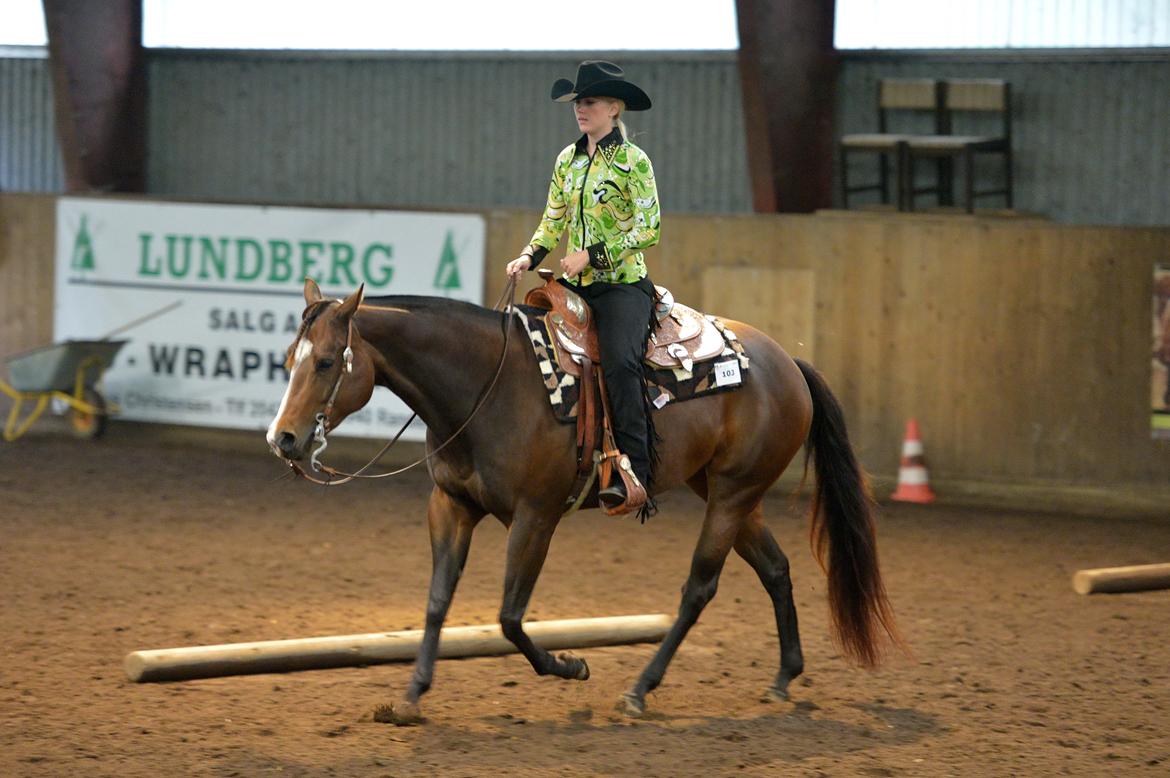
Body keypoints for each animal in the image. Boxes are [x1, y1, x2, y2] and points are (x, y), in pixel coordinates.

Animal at [267, 279, 903, 720]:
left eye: (326, 361)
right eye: (287, 361)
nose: (284, 439)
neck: (485, 387)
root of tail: (788, 364)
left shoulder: (536, 516)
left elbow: (509, 617)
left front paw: (571, 666)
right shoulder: (450, 505)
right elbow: (437, 602)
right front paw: (411, 697)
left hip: (732, 494)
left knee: (699, 588)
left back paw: (640, 690)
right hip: (727, 492)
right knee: (775, 568)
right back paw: (783, 676)